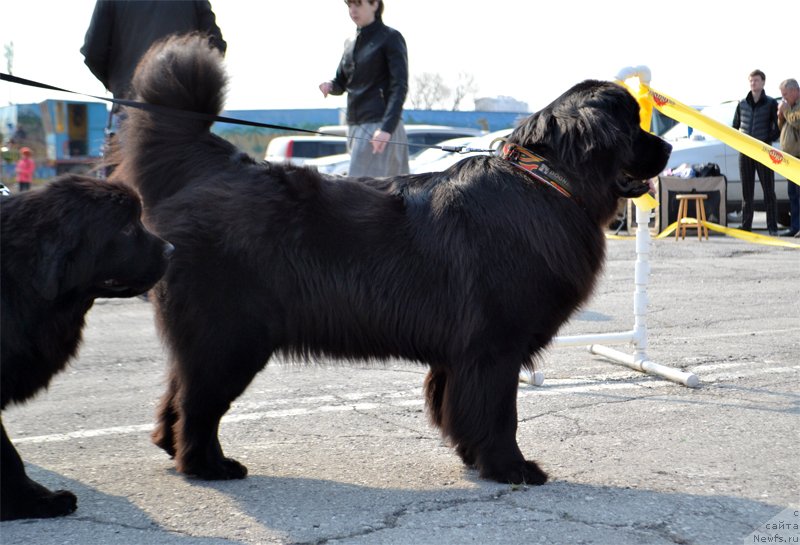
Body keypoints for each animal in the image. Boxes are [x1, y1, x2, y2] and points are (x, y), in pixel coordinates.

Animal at [108, 34, 668, 484]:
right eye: (633, 126)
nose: (665, 147)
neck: (546, 180)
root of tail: (211, 167)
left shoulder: (460, 355)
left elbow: (457, 408)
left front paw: (475, 459)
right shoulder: (494, 347)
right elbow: (497, 413)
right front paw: (511, 469)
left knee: (178, 393)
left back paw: (173, 448)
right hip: (232, 336)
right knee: (199, 403)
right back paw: (208, 466)